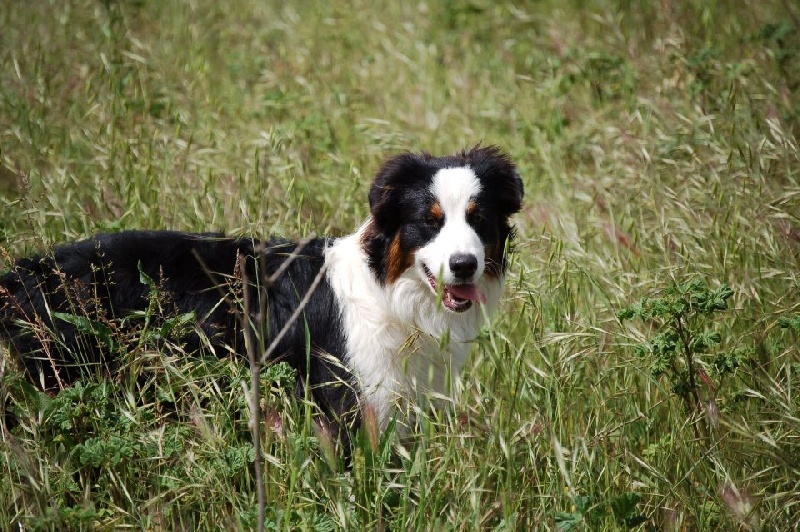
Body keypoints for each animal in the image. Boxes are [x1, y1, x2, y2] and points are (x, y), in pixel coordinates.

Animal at [0, 145, 523, 448]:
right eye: (428, 222)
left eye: (478, 219)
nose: (465, 264)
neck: (389, 293)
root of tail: (25, 272)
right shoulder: (349, 407)